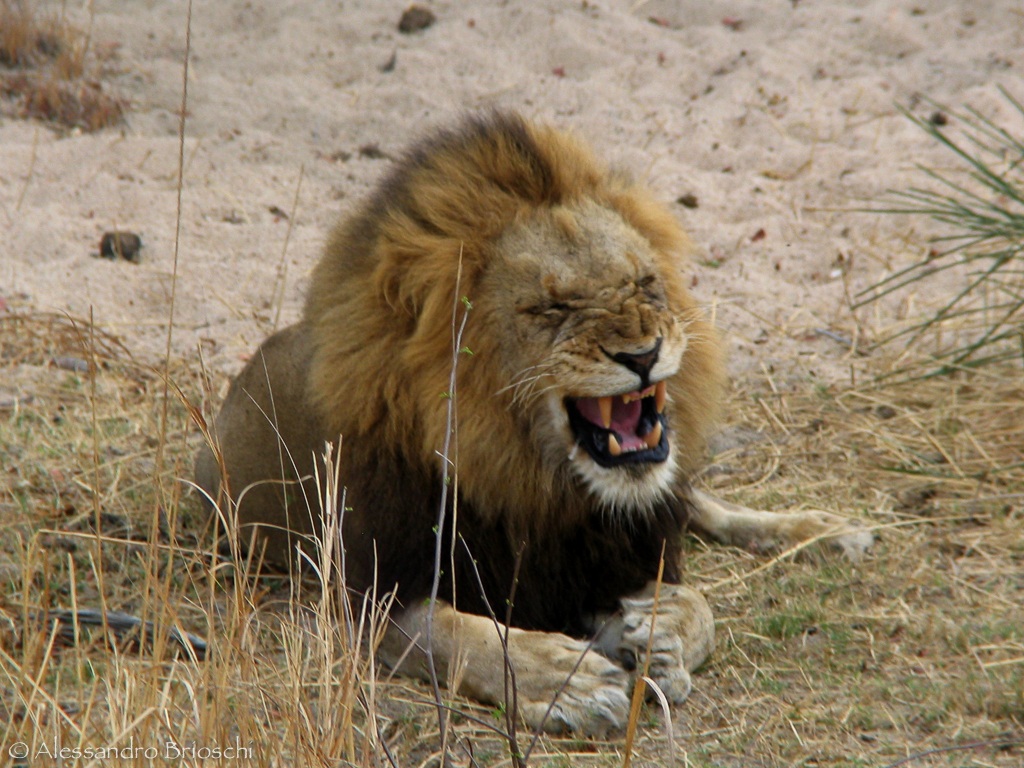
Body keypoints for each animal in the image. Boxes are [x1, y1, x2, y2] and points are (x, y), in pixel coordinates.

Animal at [194, 112, 872, 734]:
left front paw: (662, 637)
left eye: (645, 284)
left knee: (703, 502)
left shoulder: (617, 553)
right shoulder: (371, 593)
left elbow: (697, 601)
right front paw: (567, 681)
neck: (541, 487)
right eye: (554, 307)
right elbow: (459, 632)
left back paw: (825, 530)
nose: (644, 354)